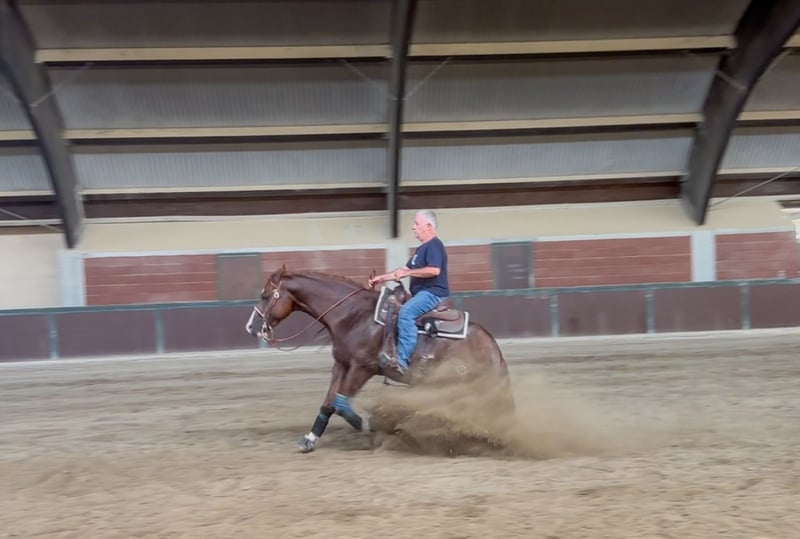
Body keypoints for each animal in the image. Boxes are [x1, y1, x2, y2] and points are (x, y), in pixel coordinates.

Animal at [245, 265, 514, 453]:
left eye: (266, 295)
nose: (252, 326)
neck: (353, 315)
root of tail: (493, 347)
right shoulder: (341, 365)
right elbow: (329, 404)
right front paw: (309, 440)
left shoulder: (362, 368)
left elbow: (342, 404)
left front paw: (371, 424)